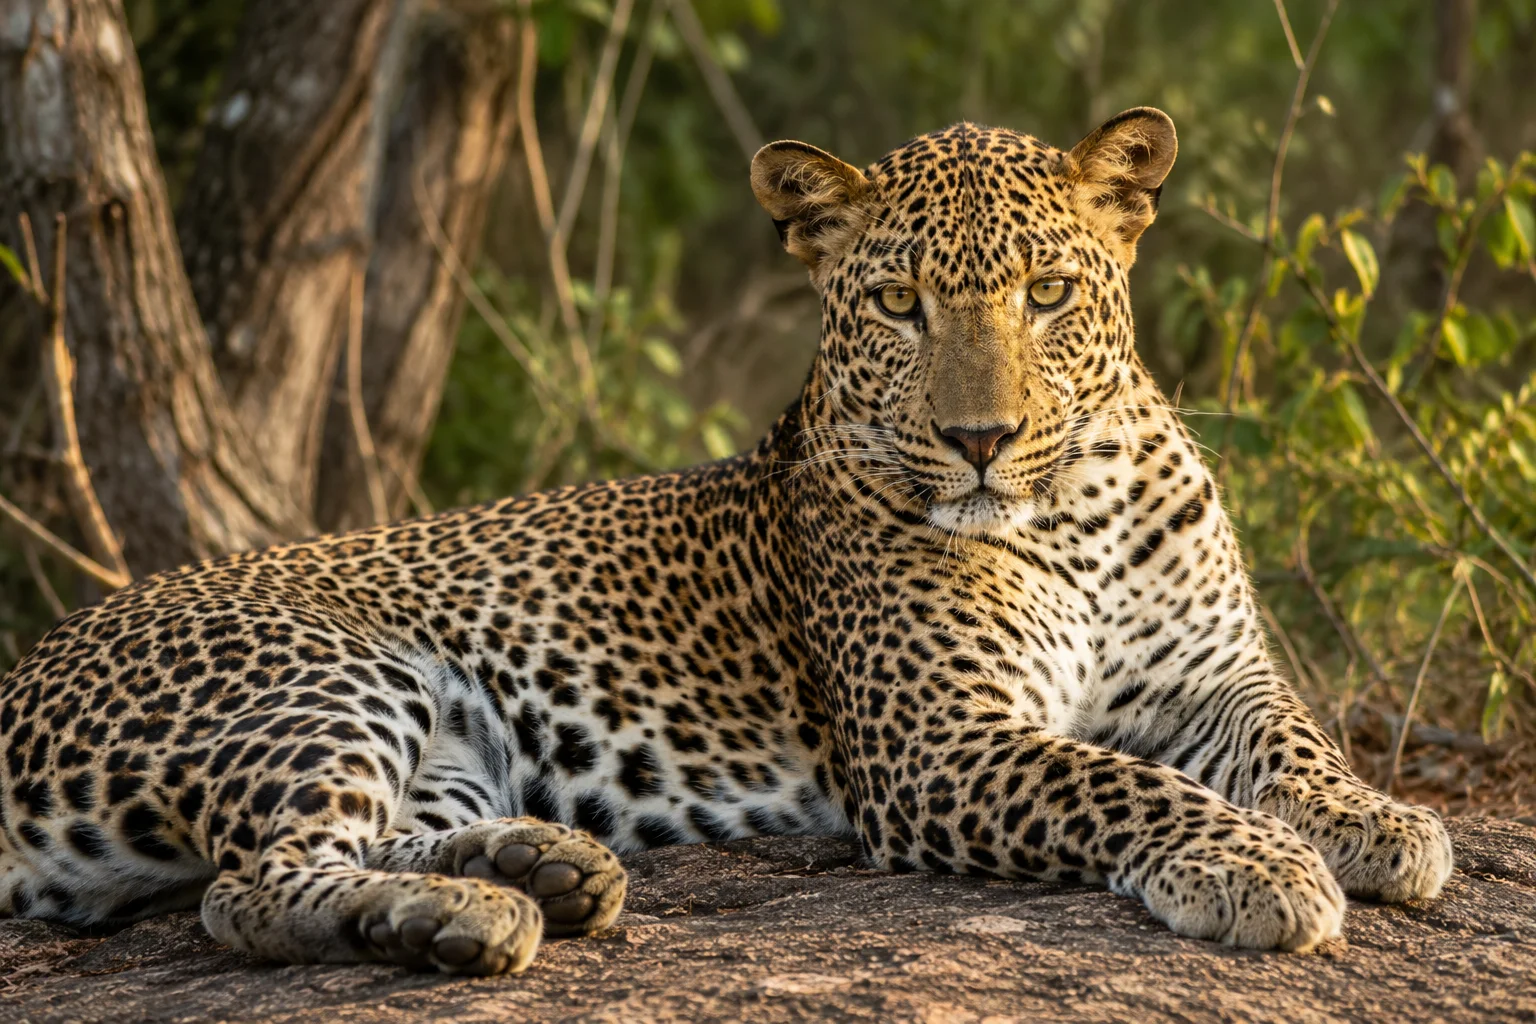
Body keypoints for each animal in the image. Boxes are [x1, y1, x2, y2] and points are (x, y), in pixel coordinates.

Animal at [0, 108, 1454, 975]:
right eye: (898, 304)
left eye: (1048, 293)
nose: (982, 437)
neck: (1075, 508)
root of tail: (25, 668)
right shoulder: (938, 745)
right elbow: (1125, 784)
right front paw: (1255, 862)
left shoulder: (1216, 675)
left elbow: (1293, 741)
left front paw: (1378, 823)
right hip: (327, 675)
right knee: (246, 888)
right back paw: (474, 918)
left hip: (448, 742)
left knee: (332, 853)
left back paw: (538, 870)